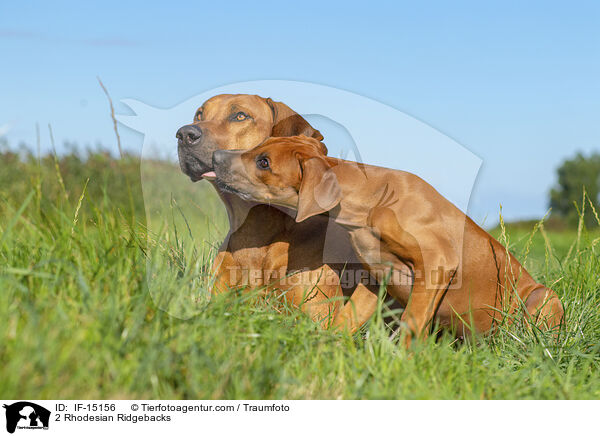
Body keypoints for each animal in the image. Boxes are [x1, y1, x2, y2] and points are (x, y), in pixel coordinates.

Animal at [213, 135, 564, 344]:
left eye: (264, 162)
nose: (216, 156)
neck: (372, 202)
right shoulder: (374, 278)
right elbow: (347, 318)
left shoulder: (437, 263)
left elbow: (411, 322)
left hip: (543, 298)